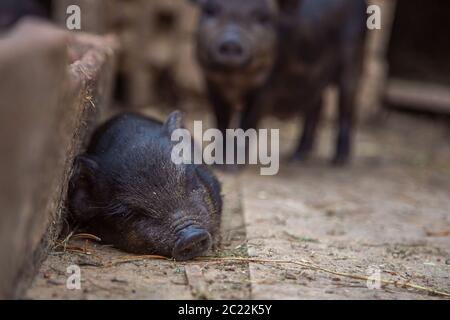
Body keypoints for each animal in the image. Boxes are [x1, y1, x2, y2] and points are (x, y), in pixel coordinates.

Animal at [189, 0, 366, 165]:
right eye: (211, 10)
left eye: (261, 17)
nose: (231, 42)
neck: (234, 80)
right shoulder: (212, 85)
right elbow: (221, 122)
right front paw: (217, 164)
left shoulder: (268, 88)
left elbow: (248, 121)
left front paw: (232, 168)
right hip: (314, 82)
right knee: (317, 105)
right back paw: (297, 157)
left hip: (354, 57)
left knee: (346, 105)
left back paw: (339, 161)